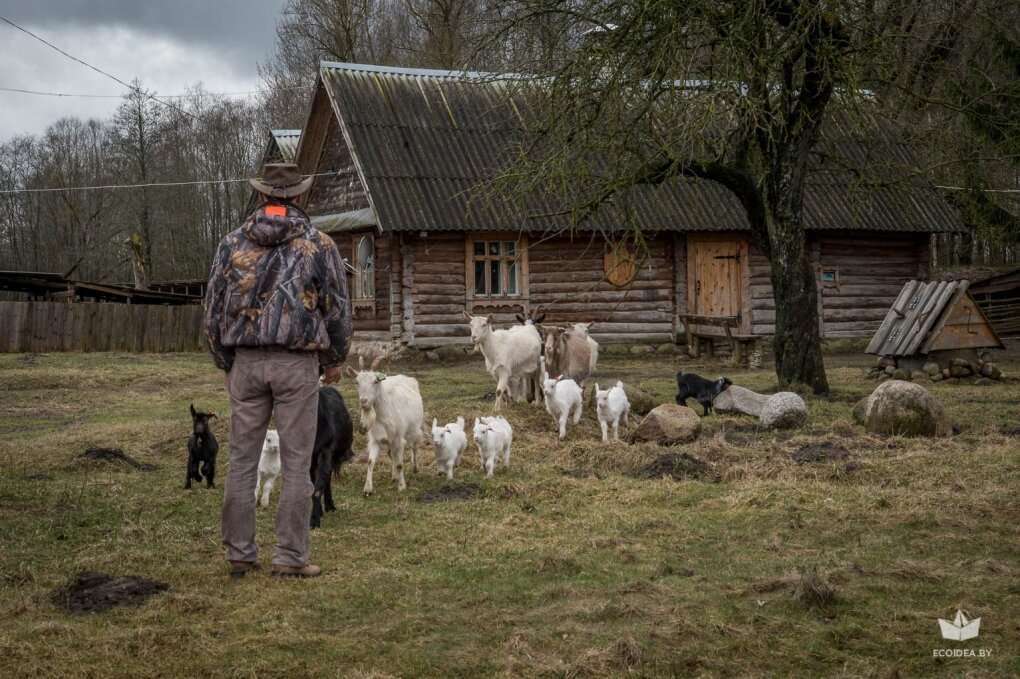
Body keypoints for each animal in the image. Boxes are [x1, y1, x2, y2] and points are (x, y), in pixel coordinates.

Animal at [308, 385, 357, 530]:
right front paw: (318, 514)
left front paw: (314, 521)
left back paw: (330, 506)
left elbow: (318, 489)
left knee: (327, 478)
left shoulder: (325, 452)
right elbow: (315, 486)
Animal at [344, 354, 420, 491]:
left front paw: (402, 486)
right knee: (392, 454)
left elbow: (400, 464)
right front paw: (367, 488)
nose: (363, 402)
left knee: (414, 446)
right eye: (356, 382)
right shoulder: (375, 439)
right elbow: (370, 462)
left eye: (375, 381)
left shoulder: (399, 439)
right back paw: (394, 476)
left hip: (415, 427)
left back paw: (415, 468)